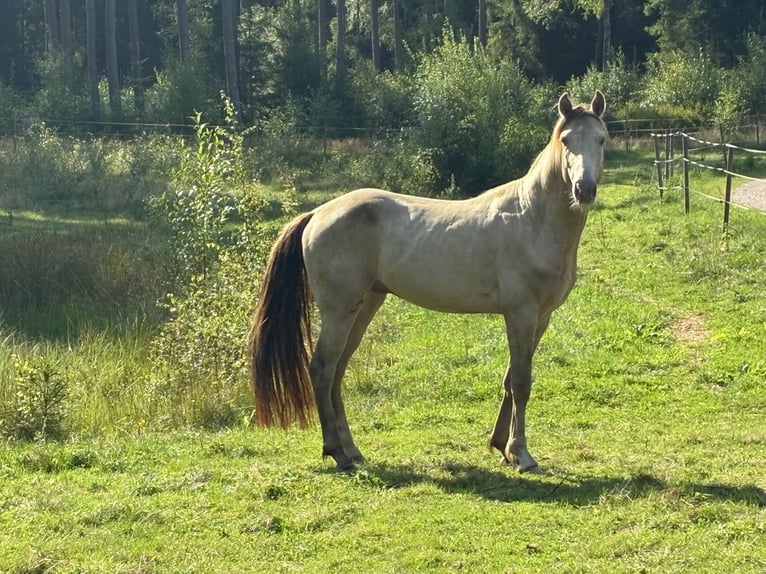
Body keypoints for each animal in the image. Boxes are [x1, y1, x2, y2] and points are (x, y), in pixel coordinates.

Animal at [249, 91, 607, 473]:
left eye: (601, 139)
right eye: (566, 140)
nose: (584, 189)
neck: (532, 218)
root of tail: (317, 213)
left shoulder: (541, 317)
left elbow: (511, 379)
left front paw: (501, 446)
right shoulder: (520, 314)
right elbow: (522, 382)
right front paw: (521, 454)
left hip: (364, 306)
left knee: (336, 372)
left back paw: (353, 451)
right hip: (338, 311)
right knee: (320, 370)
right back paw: (337, 453)